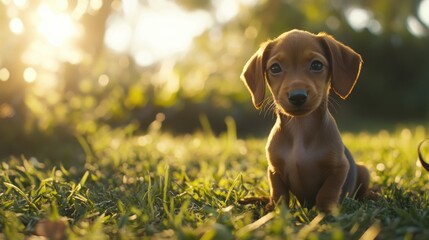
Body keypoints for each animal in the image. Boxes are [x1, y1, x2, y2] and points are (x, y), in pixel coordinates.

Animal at [241, 29, 368, 212]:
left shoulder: (339, 168)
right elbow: (279, 193)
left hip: (364, 170)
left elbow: (327, 192)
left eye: (317, 65)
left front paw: (325, 212)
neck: (300, 127)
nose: (297, 96)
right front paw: (276, 210)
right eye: (275, 68)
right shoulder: (274, 170)